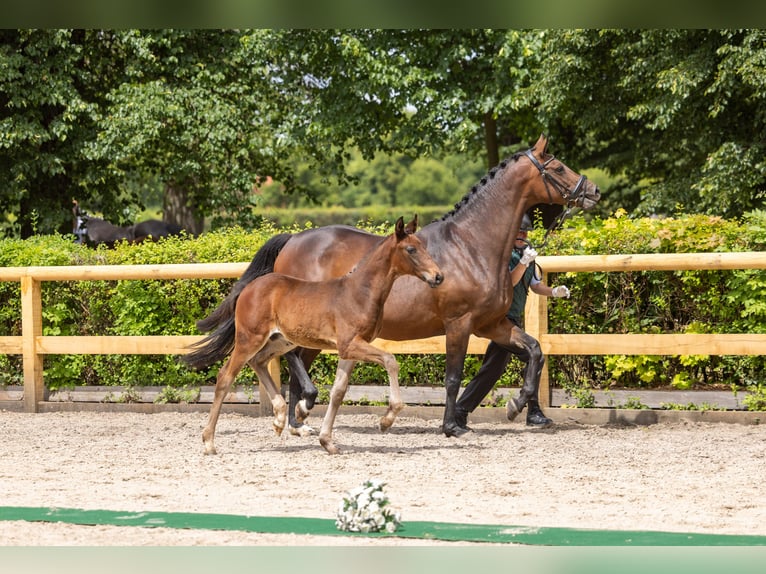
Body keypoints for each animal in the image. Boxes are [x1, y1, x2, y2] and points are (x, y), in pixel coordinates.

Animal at [182, 215, 444, 455]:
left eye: (423, 246)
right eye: (411, 249)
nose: (438, 276)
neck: (359, 292)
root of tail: (251, 287)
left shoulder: (350, 349)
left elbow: (338, 392)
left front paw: (327, 441)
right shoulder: (350, 344)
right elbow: (391, 361)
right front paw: (386, 420)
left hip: (281, 340)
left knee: (259, 361)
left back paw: (279, 418)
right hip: (250, 338)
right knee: (226, 376)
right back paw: (209, 441)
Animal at [195, 133, 601, 439]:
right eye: (557, 166)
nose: (594, 191)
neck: (471, 245)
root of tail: (294, 239)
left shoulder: (492, 324)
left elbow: (534, 351)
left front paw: (518, 405)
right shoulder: (459, 323)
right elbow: (453, 377)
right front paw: (452, 426)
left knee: (292, 364)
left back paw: (300, 420)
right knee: (291, 359)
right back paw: (305, 407)